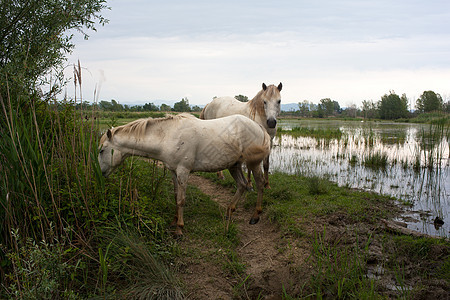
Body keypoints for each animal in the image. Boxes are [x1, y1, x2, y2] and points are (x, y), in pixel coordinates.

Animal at [97, 113, 268, 237]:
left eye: (101, 150)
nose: (102, 173)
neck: (168, 136)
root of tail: (259, 127)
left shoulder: (183, 171)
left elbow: (181, 200)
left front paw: (179, 228)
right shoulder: (173, 172)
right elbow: (175, 195)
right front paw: (174, 221)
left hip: (253, 164)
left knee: (259, 184)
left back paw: (255, 216)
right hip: (234, 165)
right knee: (242, 185)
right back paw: (229, 212)